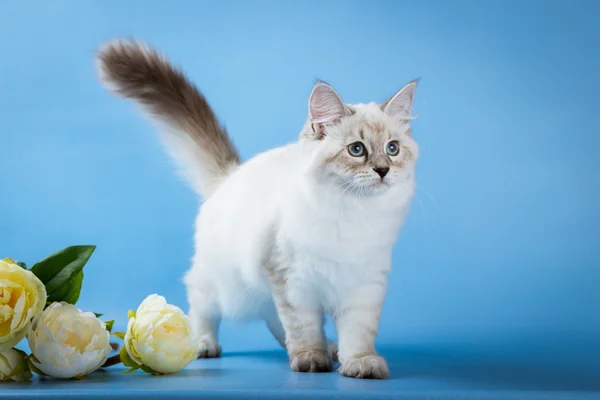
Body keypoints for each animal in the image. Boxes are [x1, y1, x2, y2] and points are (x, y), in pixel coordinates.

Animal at [98, 39, 418, 378]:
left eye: (393, 149)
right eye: (357, 150)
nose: (383, 170)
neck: (353, 212)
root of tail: (230, 175)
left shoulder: (364, 284)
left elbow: (357, 332)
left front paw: (359, 362)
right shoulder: (291, 280)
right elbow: (304, 327)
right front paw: (310, 359)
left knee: (273, 319)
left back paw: (329, 349)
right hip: (221, 282)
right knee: (200, 305)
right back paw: (202, 344)